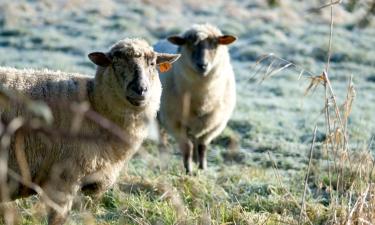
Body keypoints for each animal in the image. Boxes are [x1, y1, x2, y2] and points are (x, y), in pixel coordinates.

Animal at [0, 37, 181, 224]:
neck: (94, 104)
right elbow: (58, 219)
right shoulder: (63, 179)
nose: (140, 89)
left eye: (152, 63)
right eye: (116, 63)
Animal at [156, 23, 238, 174]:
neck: (202, 99)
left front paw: (202, 168)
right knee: (162, 141)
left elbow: (202, 146)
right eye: (189, 44)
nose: (202, 65)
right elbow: (187, 147)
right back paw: (163, 163)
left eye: (215, 44)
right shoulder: (175, 123)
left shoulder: (215, 125)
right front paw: (189, 171)